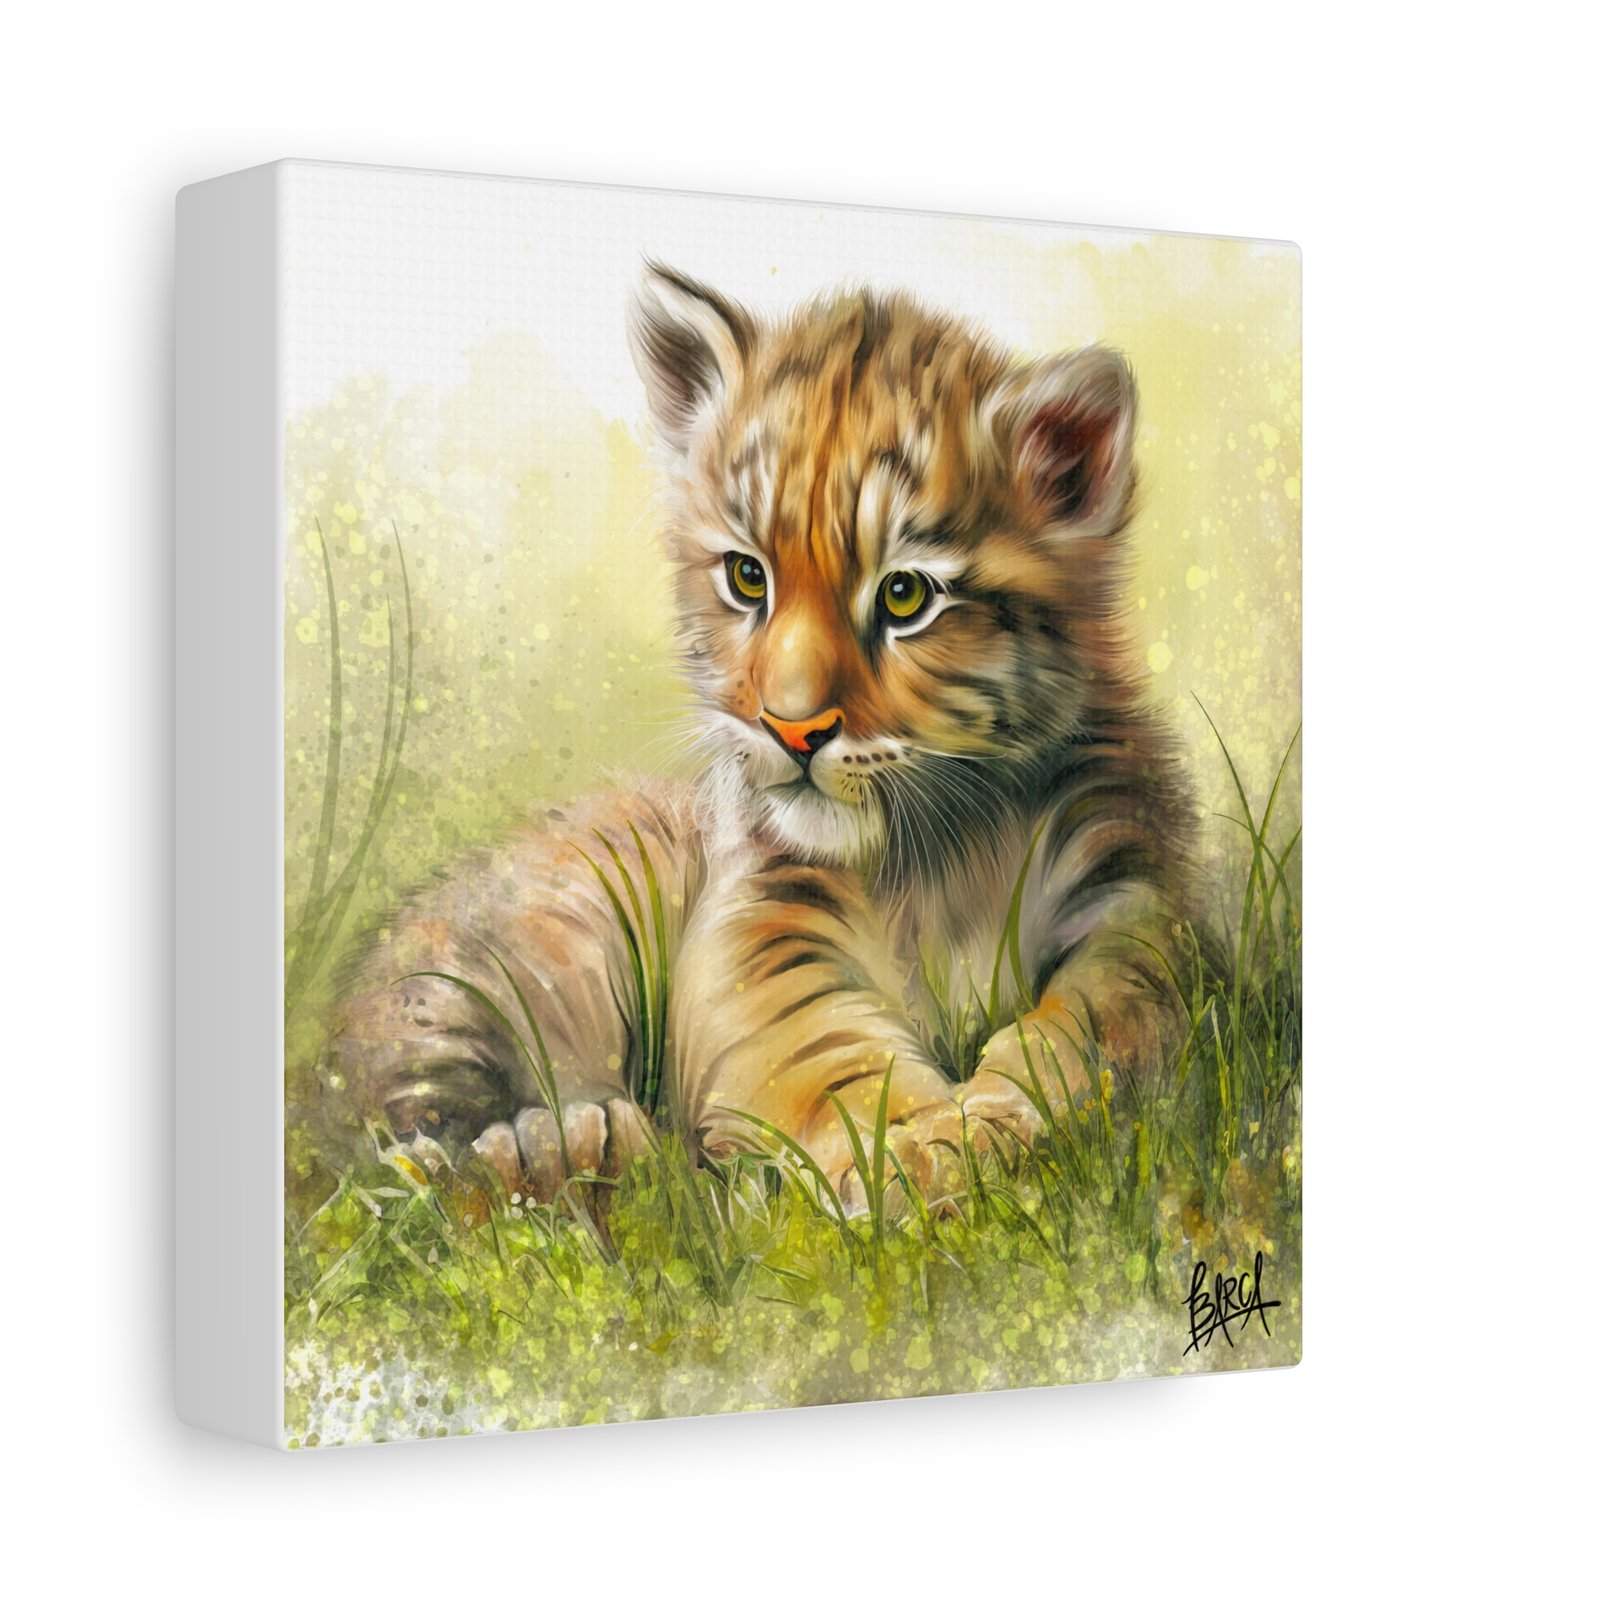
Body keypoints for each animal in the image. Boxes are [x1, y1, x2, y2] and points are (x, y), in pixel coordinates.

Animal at [326, 263, 1197, 1210]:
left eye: (904, 596)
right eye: (748, 577)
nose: (791, 728)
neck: (940, 853)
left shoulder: (1129, 898)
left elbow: (1100, 1018)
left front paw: (992, 1122)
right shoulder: (765, 917)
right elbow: (824, 1047)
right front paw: (920, 1152)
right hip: (481, 973)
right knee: (395, 1153)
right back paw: (564, 1148)